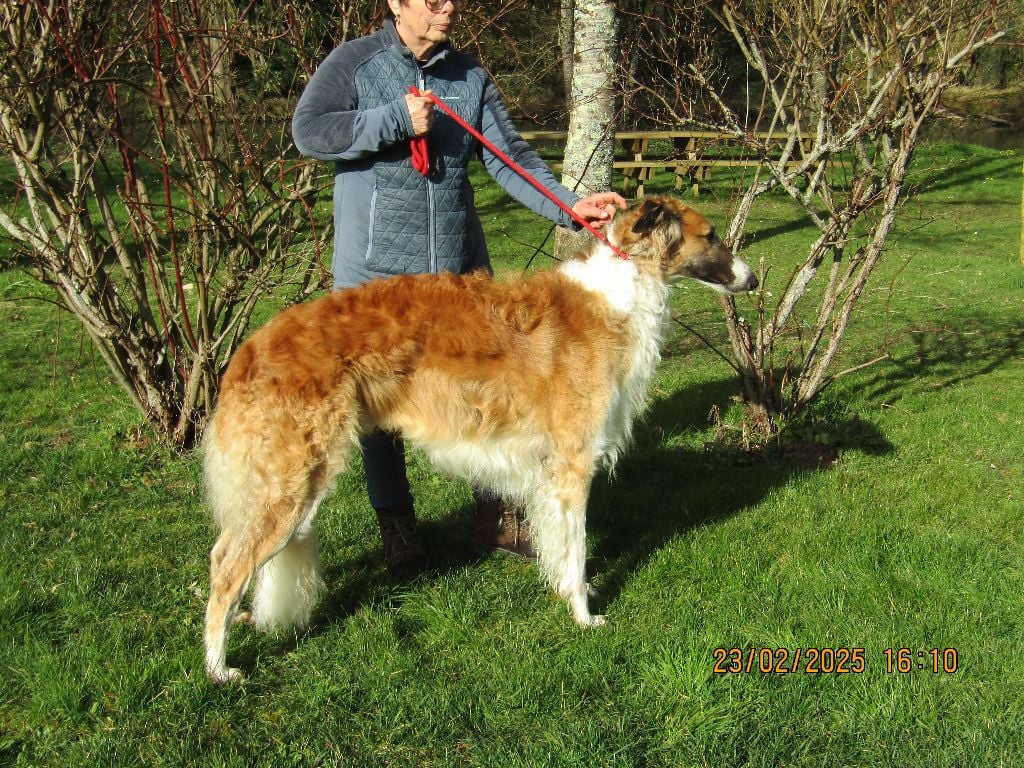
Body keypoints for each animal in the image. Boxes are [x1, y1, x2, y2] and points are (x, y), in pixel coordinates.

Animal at [202, 196, 756, 682]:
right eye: (711, 235)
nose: (751, 280)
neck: (616, 295)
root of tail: (247, 348)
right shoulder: (573, 462)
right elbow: (576, 550)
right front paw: (584, 615)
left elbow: (561, 551)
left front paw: (567, 593)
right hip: (292, 481)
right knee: (224, 568)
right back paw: (218, 668)